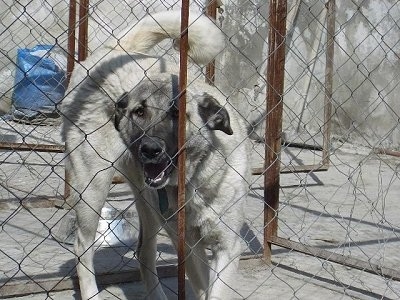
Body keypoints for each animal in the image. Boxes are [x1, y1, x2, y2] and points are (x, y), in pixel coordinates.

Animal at [61, 9, 250, 300]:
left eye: (177, 114)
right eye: (139, 112)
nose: (150, 149)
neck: (193, 181)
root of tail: (115, 49)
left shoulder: (227, 247)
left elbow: (213, 291)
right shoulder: (189, 247)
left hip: (148, 207)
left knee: (143, 252)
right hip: (92, 186)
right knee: (82, 247)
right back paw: (91, 293)